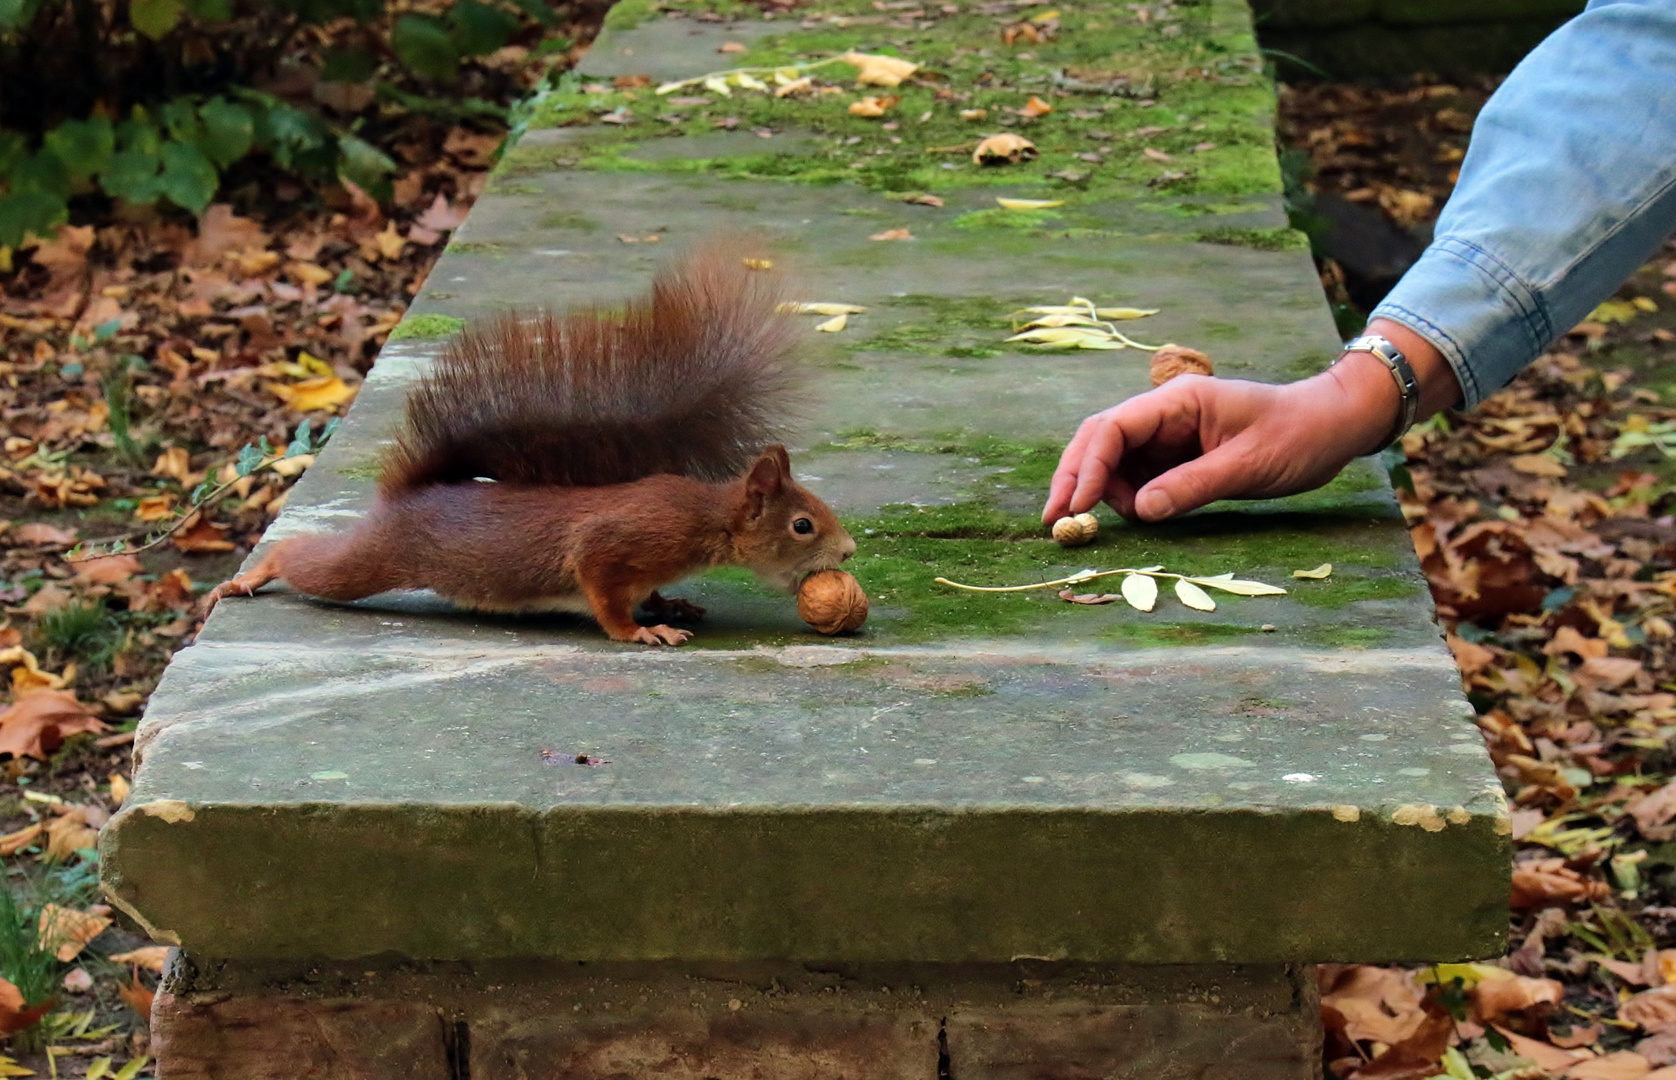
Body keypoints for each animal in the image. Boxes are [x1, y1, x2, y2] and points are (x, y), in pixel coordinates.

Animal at [207, 248, 858, 643]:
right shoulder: (620, 541)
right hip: (374, 560)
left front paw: (667, 606)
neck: (705, 519)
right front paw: (641, 631)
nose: (849, 552)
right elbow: (602, 593)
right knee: (304, 559)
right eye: (802, 525)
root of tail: (409, 497)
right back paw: (249, 576)